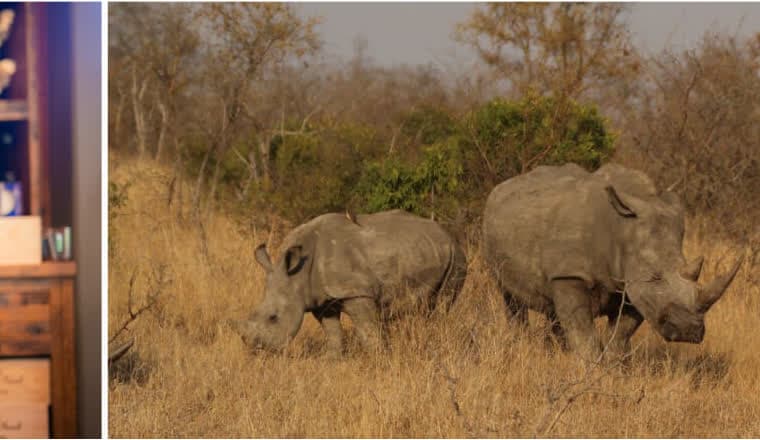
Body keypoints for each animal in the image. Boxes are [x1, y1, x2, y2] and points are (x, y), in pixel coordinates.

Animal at [232, 209, 467, 356]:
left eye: (273, 318)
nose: (255, 350)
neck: (297, 277)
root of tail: (449, 235)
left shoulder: (357, 291)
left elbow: (368, 331)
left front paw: (379, 358)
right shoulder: (320, 299)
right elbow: (333, 332)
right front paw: (332, 360)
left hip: (456, 258)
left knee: (443, 304)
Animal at [483, 163, 743, 358]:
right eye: (655, 276)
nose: (688, 331)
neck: (622, 230)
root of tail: (500, 187)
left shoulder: (633, 288)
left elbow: (619, 336)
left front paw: (613, 368)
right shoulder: (570, 273)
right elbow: (582, 332)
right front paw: (589, 368)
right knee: (511, 298)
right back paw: (520, 344)